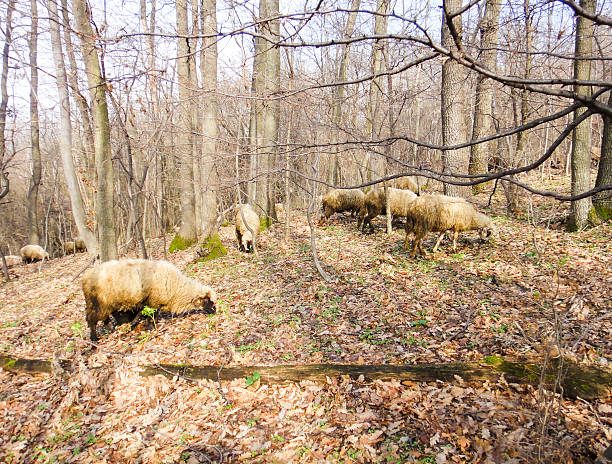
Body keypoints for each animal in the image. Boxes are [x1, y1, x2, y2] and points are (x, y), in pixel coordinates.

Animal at [80, 258, 216, 340]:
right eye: (208, 300)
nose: (215, 312)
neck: (177, 288)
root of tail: (85, 279)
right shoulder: (154, 302)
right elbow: (151, 316)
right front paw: (151, 328)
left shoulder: (146, 302)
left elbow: (141, 314)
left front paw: (133, 325)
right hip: (98, 304)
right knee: (91, 320)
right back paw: (94, 339)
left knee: (103, 319)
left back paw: (110, 330)